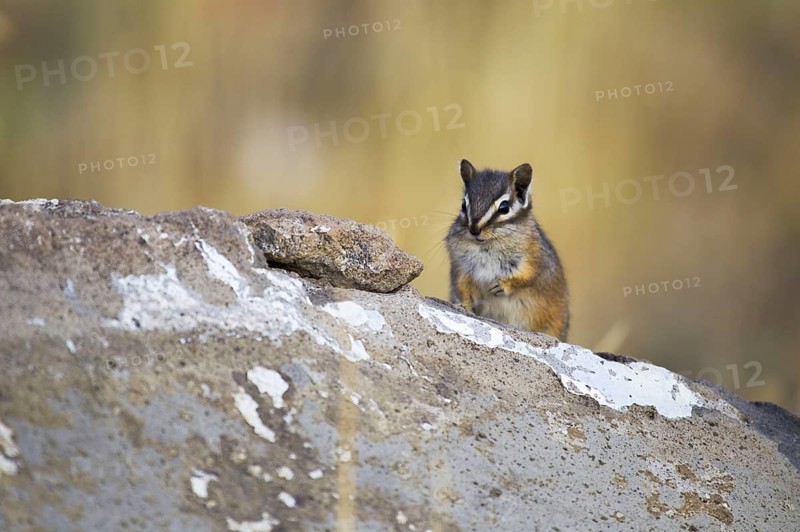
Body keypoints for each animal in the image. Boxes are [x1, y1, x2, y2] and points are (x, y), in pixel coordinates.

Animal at [445, 159, 570, 341]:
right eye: (463, 205)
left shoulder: (535, 259)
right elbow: (461, 287)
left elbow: (529, 277)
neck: (486, 245)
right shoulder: (460, 265)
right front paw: (463, 306)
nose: (474, 230)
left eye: (504, 208)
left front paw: (502, 285)